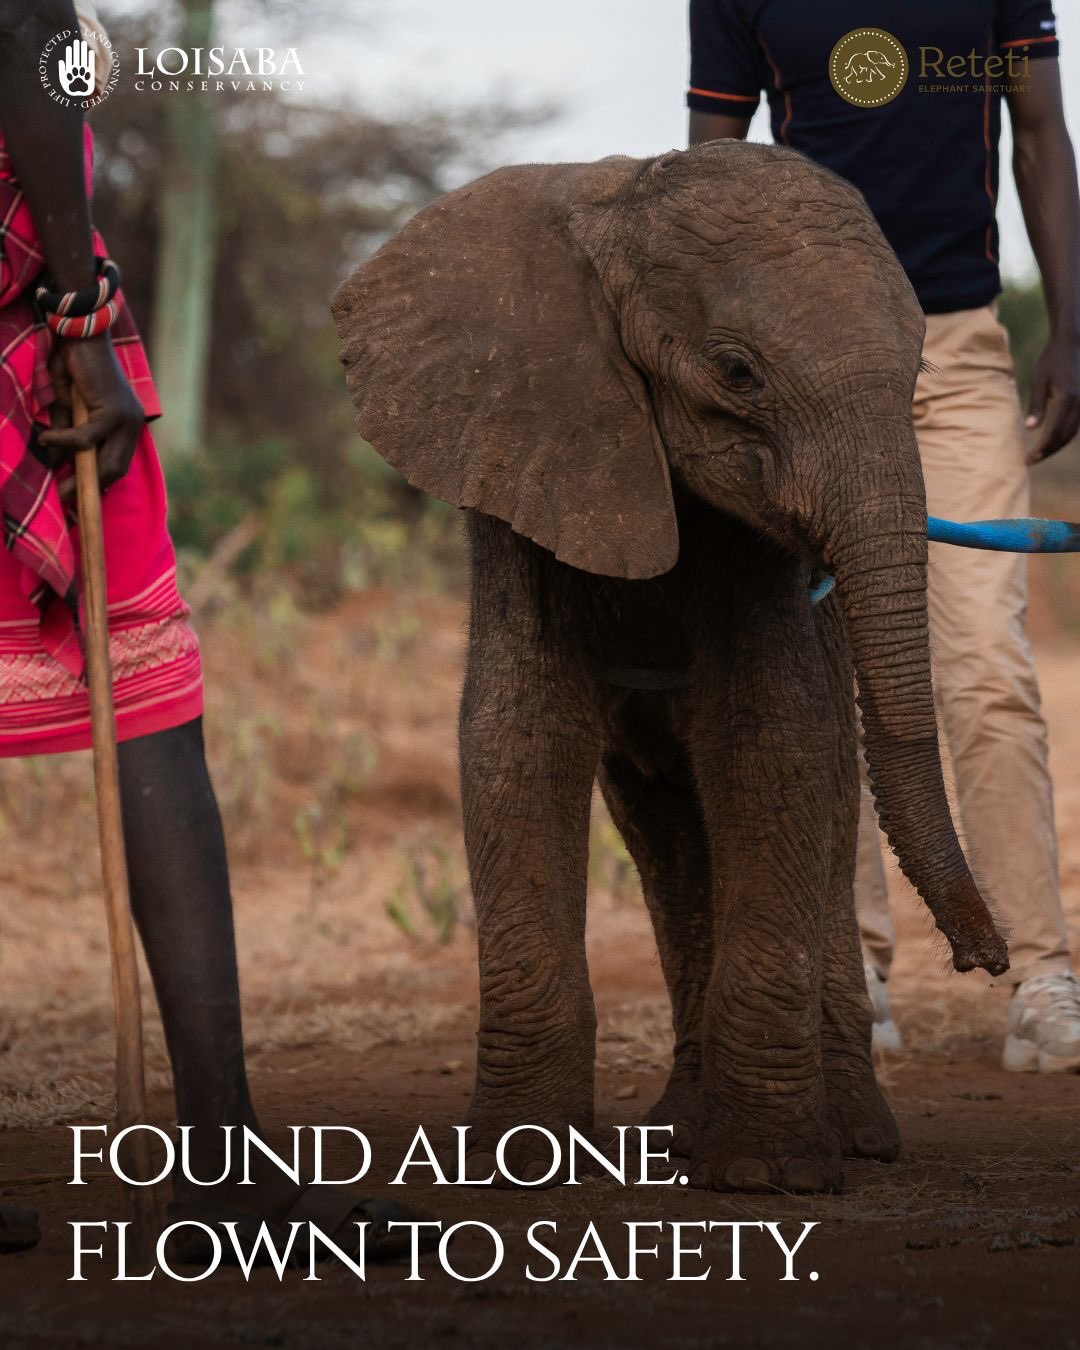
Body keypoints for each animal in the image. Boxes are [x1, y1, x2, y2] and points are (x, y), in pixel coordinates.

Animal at [331, 140, 1008, 1194]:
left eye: (918, 377)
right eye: (737, 372)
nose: (988, 958)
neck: (618, 205)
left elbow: (773, 743)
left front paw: (767, 1173)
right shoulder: (525, 453)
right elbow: (514, 742)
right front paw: (514, 1161)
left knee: (822, 806)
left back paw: (851, 1137)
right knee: (666, 833)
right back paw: (681, 1132)